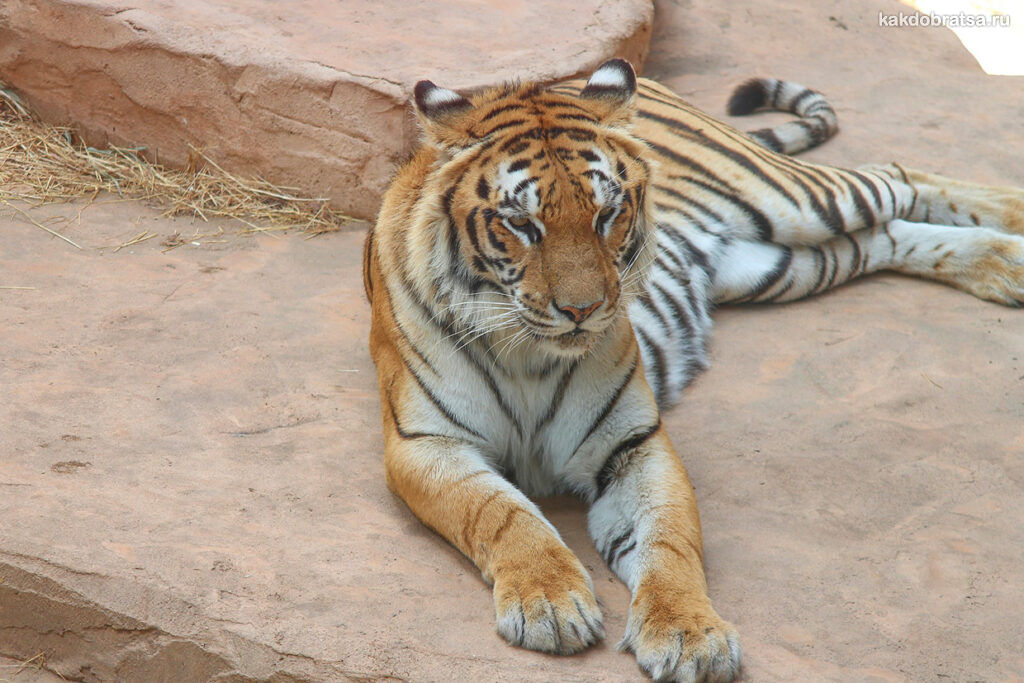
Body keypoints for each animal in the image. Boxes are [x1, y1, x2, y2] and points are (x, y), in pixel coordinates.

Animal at [362, 60, 1024, 683]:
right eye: (521, 224)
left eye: (607, 214)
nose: (583, 310)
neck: (530, 353)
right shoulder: (427, 445)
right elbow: (503, 515)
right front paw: (548, 602)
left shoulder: (634, 443)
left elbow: (668, 543)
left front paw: (688, 634)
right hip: (785, 265)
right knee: (888, 232)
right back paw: (1002, 266)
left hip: (797, 202)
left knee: (898, 174)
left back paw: (1013, 227)